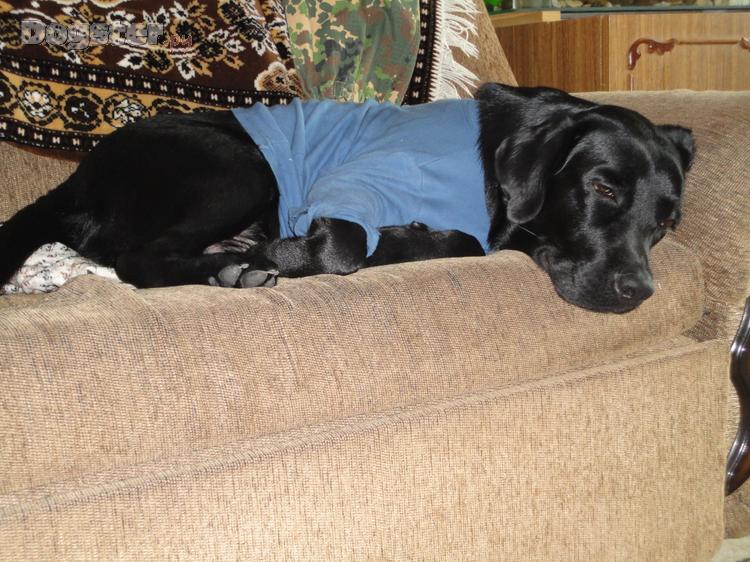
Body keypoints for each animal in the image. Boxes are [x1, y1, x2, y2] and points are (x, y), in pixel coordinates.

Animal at [0, 84, 694, 313]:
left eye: (666, 222)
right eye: (602, 187)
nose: (640, 291)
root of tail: (75, 178)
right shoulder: (349, 187)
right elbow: (346, 246)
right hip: (241, 166)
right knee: (137, 259)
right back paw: (239, 266)